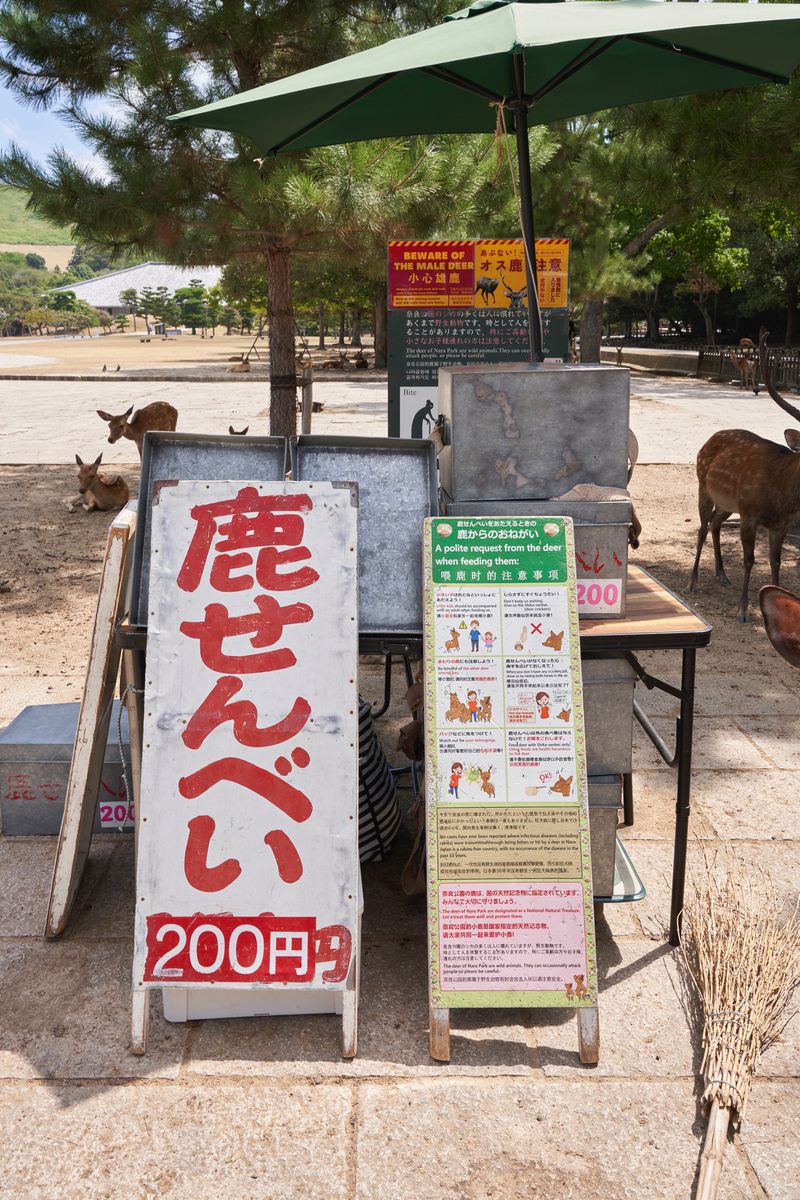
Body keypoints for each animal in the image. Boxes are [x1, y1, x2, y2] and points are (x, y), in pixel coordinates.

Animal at [689, 332, 800, 621]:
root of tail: (710, 438)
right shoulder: (750, 514)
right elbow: (749, 560)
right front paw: (742, 609)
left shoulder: (782, 524)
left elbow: (775, 561)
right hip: (703, 486)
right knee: (702, 528)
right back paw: (694, 581)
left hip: (729, 504)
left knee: (715, 523)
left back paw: (722, 575)